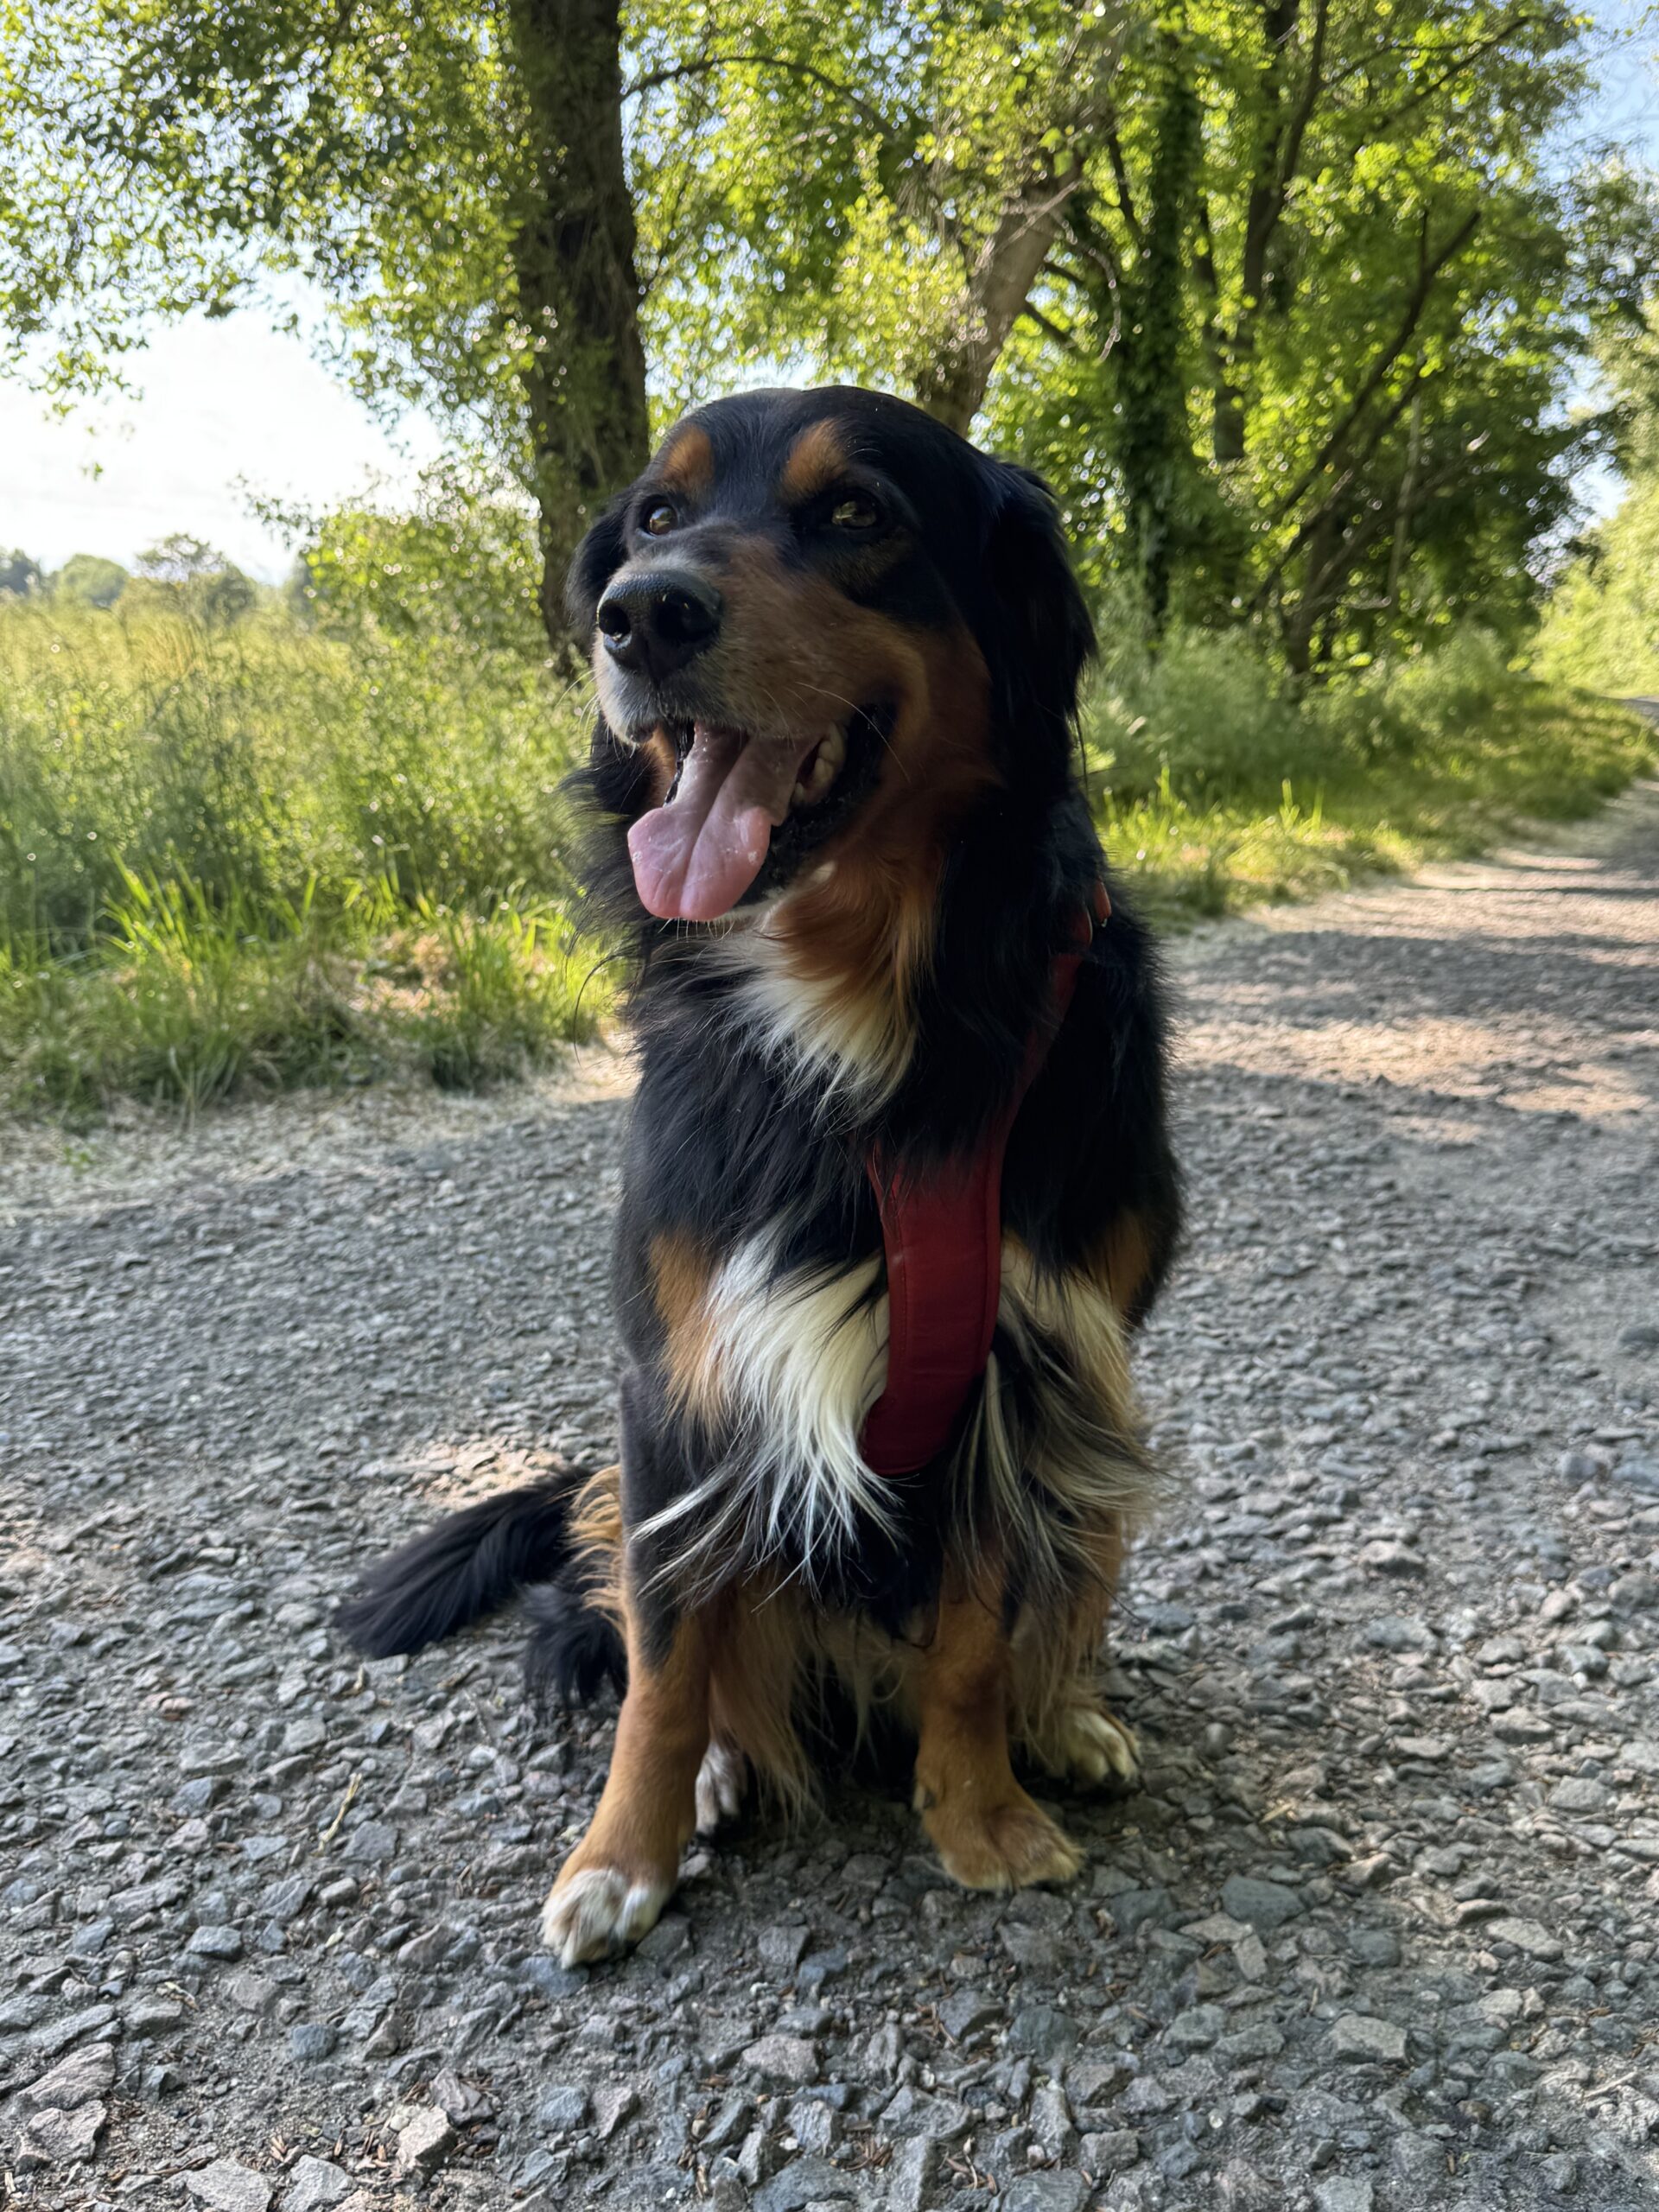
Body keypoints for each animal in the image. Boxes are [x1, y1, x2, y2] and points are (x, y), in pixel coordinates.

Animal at [338, 384, 1181, 1966]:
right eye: (655, 517)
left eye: (855, 513)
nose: (639, 617)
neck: (859, 999)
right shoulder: (678, 1383)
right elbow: (671, 1665)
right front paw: (625, 1853)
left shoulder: (1022, 1373)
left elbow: (976, 1639)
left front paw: (980, 1817)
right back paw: (732, 1768)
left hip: (1106, 1443)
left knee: (1064, 1603)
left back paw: (1068, 1722)